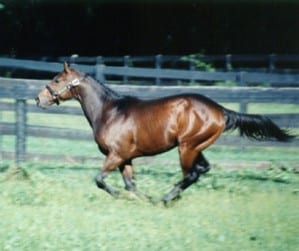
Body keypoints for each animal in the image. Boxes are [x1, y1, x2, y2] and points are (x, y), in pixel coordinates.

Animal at [35, 63, 296, 204]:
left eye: (56, 80)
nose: (38, 99)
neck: (109, 111)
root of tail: (220, 110)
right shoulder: (126, 158)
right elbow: (131, 185)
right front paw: (141, 200)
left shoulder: (116, 155)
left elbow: (99, 180)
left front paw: (126, 196)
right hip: (197, 147)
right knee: (202, 169)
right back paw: (168, 196)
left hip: (186, 147)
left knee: (191, 174)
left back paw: (167, 198)